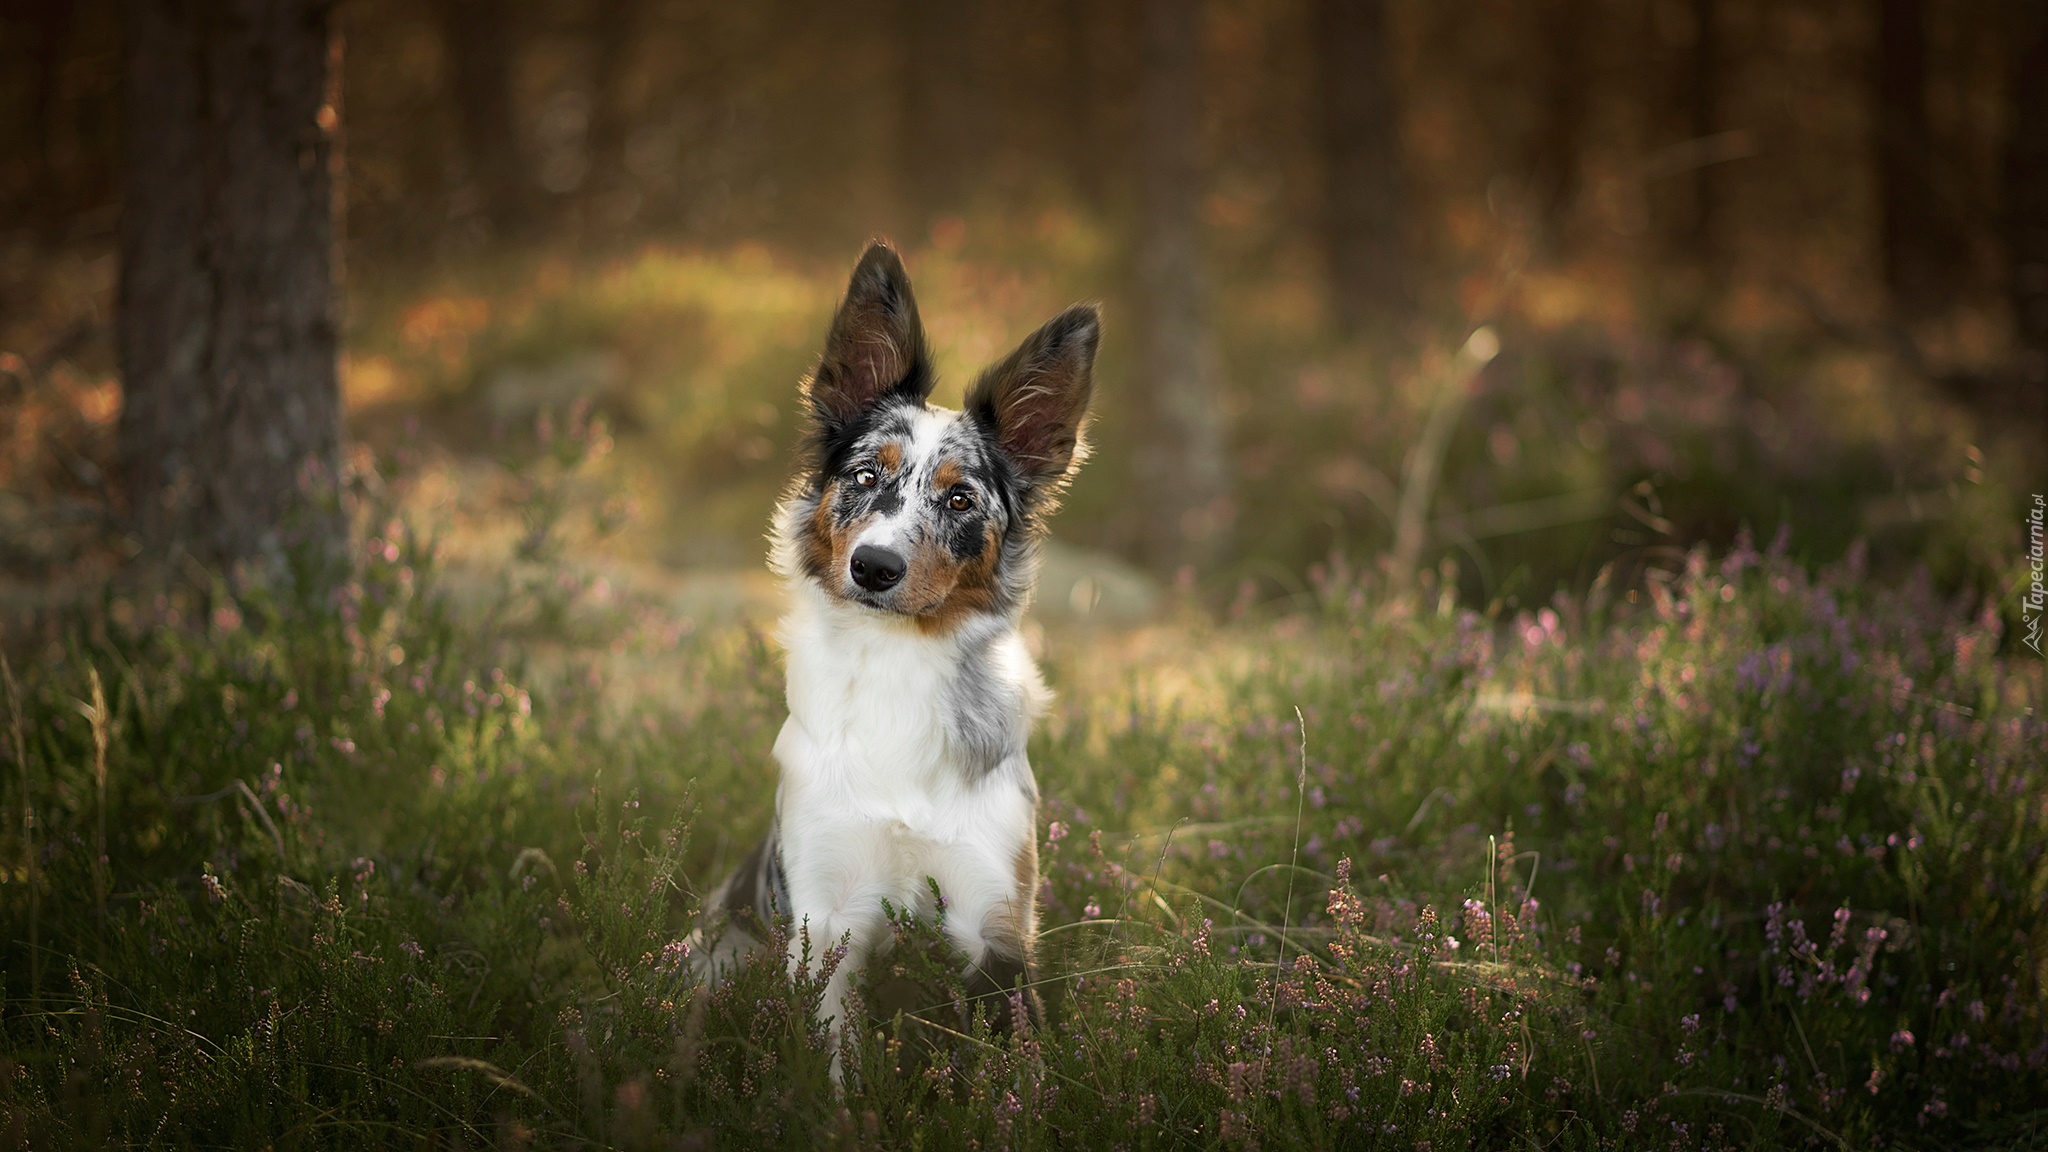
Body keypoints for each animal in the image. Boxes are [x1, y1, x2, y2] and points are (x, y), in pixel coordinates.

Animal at [688, 241, 1097, 1057]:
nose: (873, 567)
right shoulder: (824, 921)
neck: (897, 668)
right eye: (864, 474)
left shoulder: (996, 926)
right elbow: (828, 1067)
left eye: (960, 498)